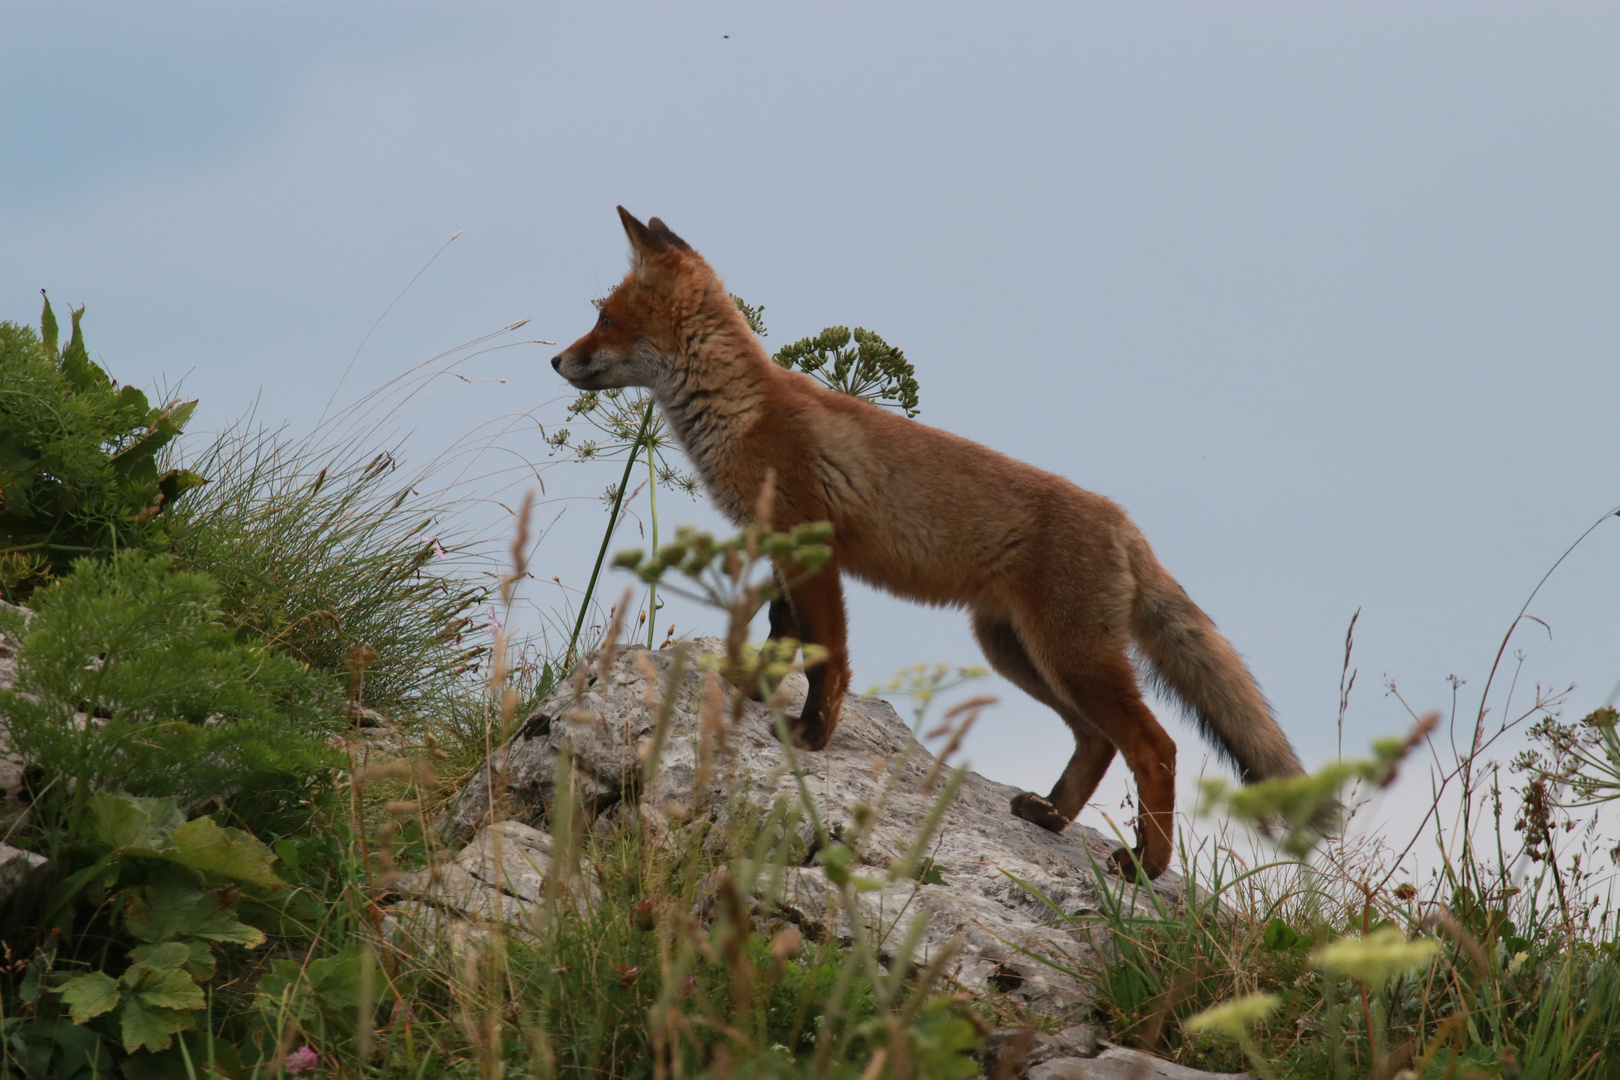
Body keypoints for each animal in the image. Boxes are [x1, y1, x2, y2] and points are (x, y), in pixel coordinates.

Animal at [550, 208, 1308, 880]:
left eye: (605, 320)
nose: (555, 359)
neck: (744, 413)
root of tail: (1125, 523)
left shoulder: (813, 551)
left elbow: (827, 655)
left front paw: (812, 735)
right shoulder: (782, 555)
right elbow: (782, 635)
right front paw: (752, 692)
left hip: (1072, 659)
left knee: (1156, 746)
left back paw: (1146, 866)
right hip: (1016, 653)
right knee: (1096, 740)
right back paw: (1052, 817)